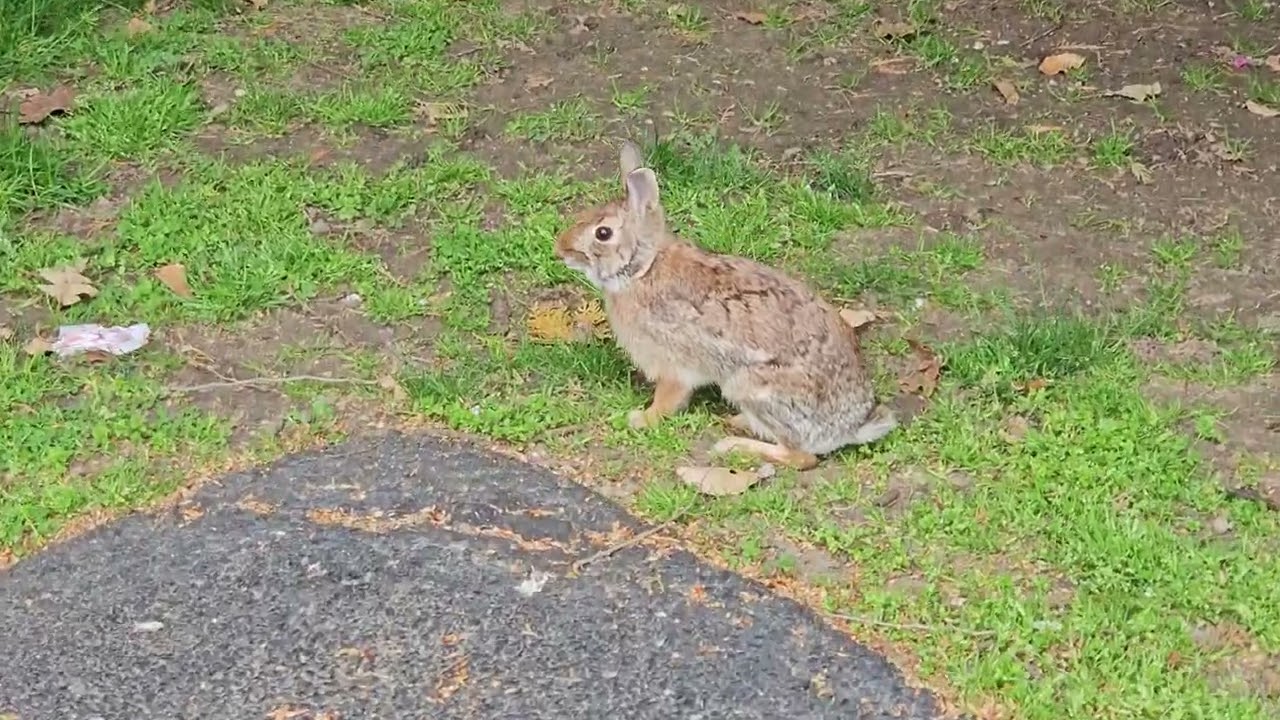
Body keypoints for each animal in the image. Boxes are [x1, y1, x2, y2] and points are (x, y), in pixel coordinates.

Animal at [552, 140, 897, 470]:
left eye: (603, 233)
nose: (561, 248)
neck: (643, 269)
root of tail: (849, 428)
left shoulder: (673, 364)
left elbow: (668, 400)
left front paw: (641, 419)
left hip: (751, 387)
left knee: (801, 457)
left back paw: (733, 445)